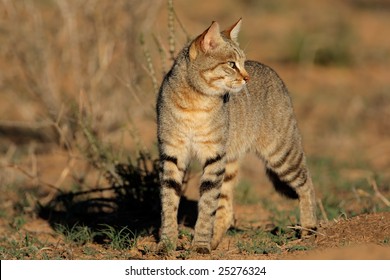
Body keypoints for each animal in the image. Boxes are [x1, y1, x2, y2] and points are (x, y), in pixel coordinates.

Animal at [155, 18, 316, 253]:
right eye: (231, 64)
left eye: (243, 62)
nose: (246, 77)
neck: (196, 103)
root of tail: (273, 72)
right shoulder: (172, 154)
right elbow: (169, 203)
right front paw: (167, 243)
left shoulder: (213, 156)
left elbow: (207, 205)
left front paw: (200, 245)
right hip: (230, 160)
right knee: (227, 208)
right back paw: (215, 242)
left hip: (281, 153)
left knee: (307, 183)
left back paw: (309, 228)